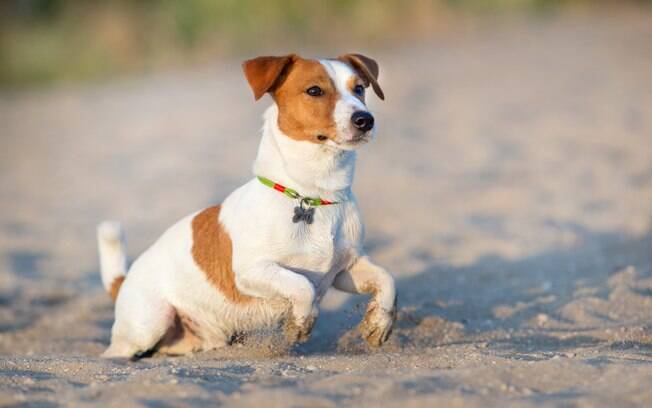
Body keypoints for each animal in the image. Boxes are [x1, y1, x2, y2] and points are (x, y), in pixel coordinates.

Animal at [99, 53, 398, 356]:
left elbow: (387, 280)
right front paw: (300, 323)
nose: (365, 119)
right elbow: (303, 287)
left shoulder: (346, 270)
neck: (313, 195)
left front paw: (379, 323)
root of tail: (124, 281)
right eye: (314, 90)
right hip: (149, 324)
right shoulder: (253, 271)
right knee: (117, 351)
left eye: (359, 88)